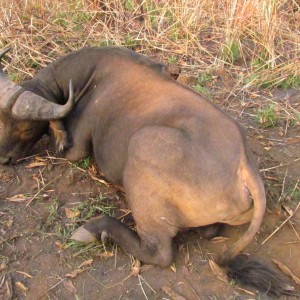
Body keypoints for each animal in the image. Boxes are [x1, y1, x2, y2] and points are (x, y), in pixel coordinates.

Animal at [0, 46, 296, 296]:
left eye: (24, 126)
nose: (4, 158)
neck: (92, 76)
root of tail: (245, 168)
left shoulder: (77, 148)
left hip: (143, 147)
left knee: (159, 252)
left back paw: (95, 229)